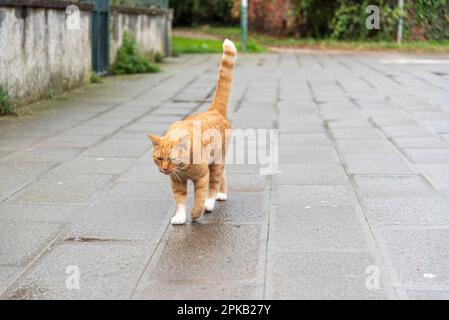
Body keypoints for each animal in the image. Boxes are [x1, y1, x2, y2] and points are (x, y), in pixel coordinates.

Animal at [148, 39, 238, 225]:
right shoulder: (176, 182)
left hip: (216, 162)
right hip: (216, 161)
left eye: (171, 159)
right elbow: (180, 201)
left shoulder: (202, 177)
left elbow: (200, 198)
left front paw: (197, 213)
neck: (183, 169)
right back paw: (222, 194)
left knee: (215, 182)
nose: (164, 169)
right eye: (159, 159)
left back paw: (211, 202)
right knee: (223, 175)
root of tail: (214, 110)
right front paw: (180, 217)